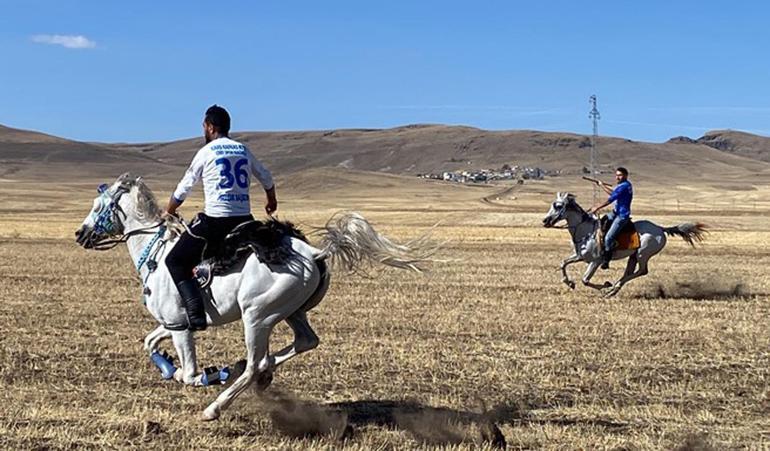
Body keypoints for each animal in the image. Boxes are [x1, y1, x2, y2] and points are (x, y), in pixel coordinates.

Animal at [76, 175, 438, 422]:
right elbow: (150, 343)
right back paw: (264, 374)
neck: (157, 253)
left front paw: (211, 373)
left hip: (257, 317)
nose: (80, 234)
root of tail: (314, 253)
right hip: (290, 312)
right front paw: (170, 368)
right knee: (304, 342)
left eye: (98, 206)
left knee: (253, 363)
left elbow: (190, 374)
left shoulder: (181, 328)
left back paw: (217, 403)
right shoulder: (173, 322)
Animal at [540, 192, 704, 298]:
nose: (545, 221)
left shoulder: (596, 261)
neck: (585, 231)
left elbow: (585, 280)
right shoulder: (579, 256)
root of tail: (660, 228)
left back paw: (612, 288)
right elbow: (563, 264)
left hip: (642, 255)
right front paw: (569, 283)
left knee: (642, 271)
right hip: (633, 256)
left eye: (558, 206)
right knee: (629, 272)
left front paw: (605, 285)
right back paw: (614, 289)